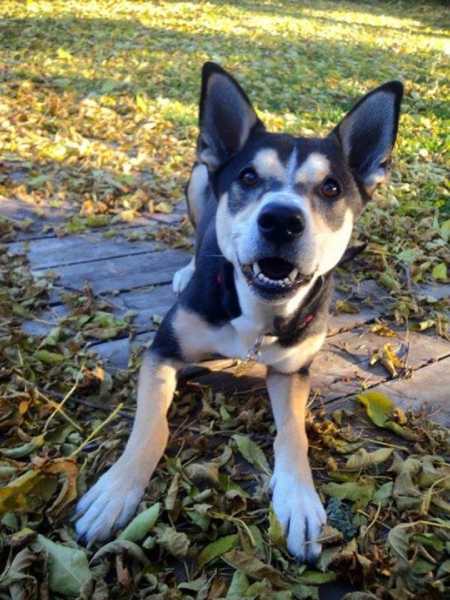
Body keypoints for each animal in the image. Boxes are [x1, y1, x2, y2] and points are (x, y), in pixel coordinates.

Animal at [74, 62, 404, 564]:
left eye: (331, 187)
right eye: (248, 178)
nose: (282, 220)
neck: (257, 307)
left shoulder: (292, 371)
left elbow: (294, 434)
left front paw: (299, 499)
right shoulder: (163, 352)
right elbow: (151, 427)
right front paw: (117, 490)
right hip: (196, 181)